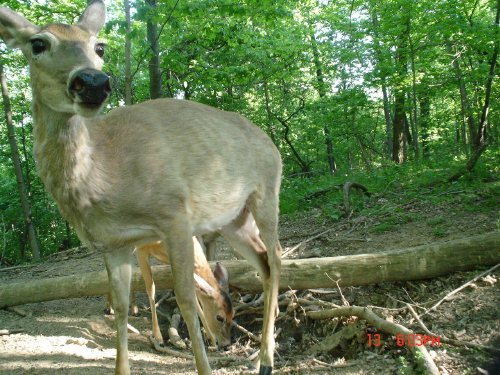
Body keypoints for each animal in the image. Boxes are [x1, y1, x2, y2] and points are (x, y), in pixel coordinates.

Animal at [0, 1, 282, 374]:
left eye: (99, 47)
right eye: (37, 43)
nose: (92, 81)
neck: (106, 176)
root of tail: (271, 143)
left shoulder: (175, 216)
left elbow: (186, 300)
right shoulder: (113, 243)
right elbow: (121, 308)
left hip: (267, 192)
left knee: (276, 257)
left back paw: (266, 358)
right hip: (233, 219)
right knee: (263, 262)